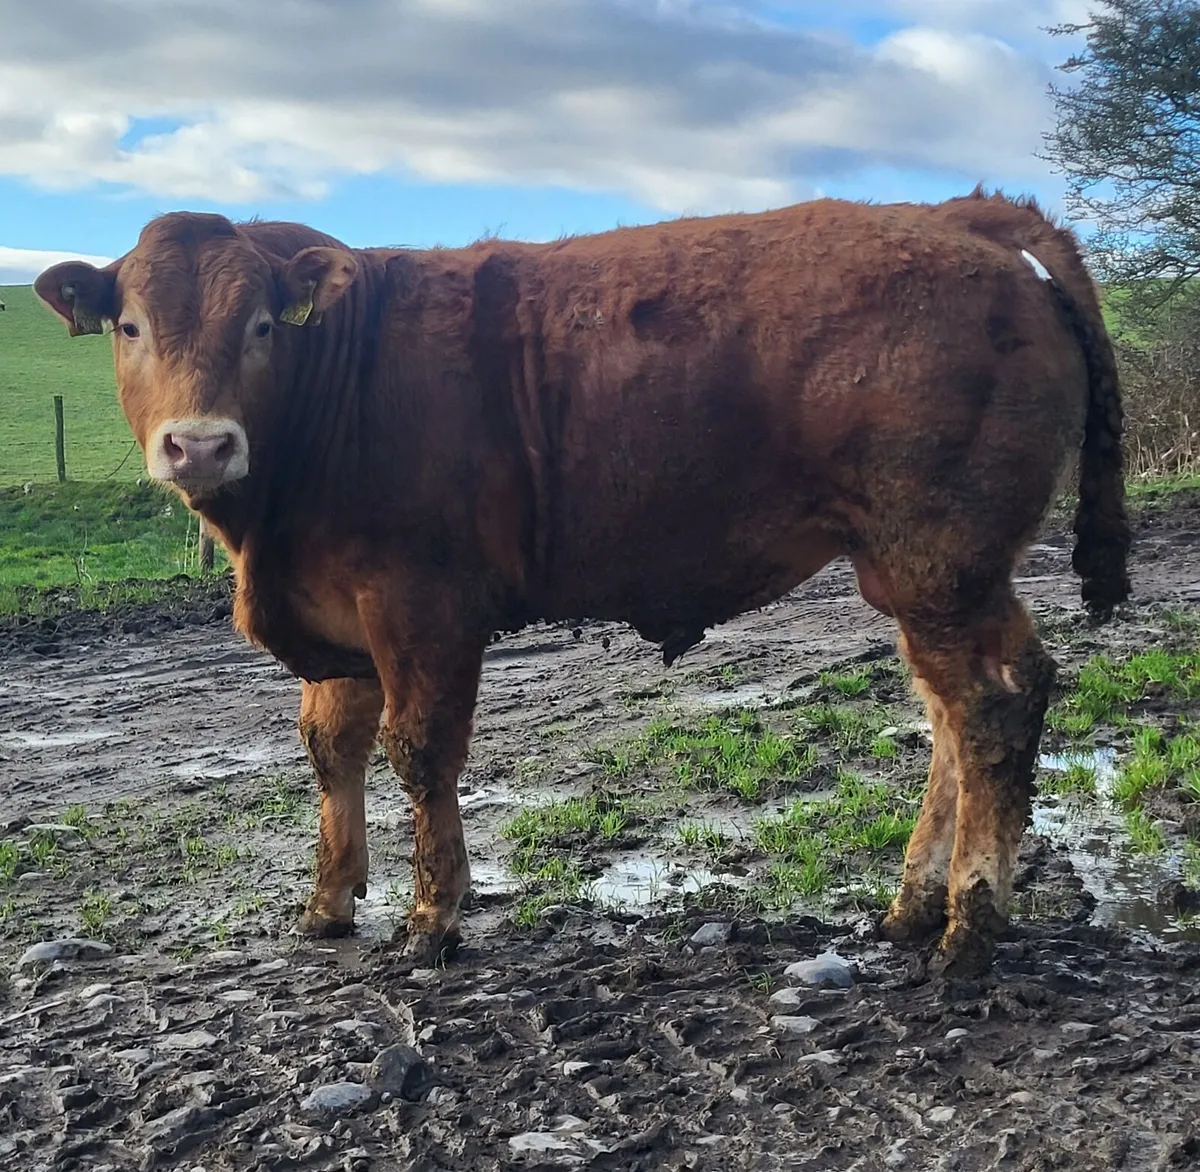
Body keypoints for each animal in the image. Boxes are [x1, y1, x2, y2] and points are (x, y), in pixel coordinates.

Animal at [34, 188, 1130, 978]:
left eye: (264, 323)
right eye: (130, 326)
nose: (200, 443)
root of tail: (952, 214)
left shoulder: (421, 604)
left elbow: (420, 751)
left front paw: (432, 917)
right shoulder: (339, 620)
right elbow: (331, 752)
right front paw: (328, 903)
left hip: (937, 559)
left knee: (986, 710)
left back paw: (968, 925)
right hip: (928, 574)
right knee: (964, 710)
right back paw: (911, 907)